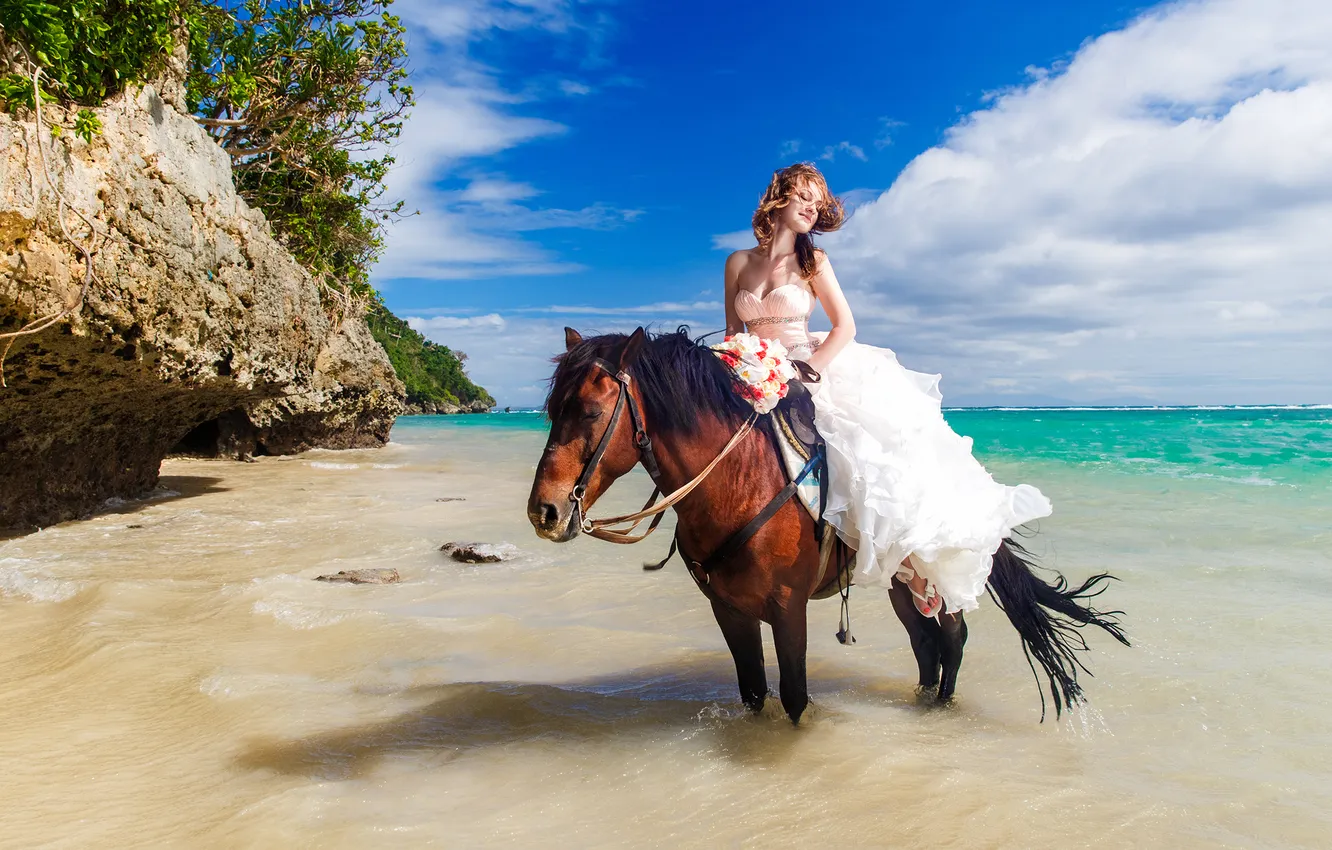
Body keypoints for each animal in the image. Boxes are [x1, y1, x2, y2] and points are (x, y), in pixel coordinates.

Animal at [524, 326, 1129, 724]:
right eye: (552, 410)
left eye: (590, 412)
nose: (544, 512)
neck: (738, 482)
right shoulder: (729, 609)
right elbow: (753, 693)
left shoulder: (787, 606)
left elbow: (794, 697)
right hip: (900, 580)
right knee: (926, 643)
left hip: (932, 571)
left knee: (952, 638)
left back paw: (942, 709)